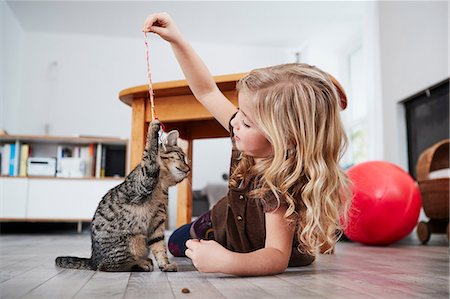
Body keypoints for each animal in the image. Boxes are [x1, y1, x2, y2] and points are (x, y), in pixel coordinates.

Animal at [55, 120, 189, 274]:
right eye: (182, 157)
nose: (189, 169)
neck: (162, 186)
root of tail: (93, 260)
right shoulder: (144, 181)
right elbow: (149, 153)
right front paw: (153, 129)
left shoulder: (157, 221)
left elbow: (159, 245)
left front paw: (165, 265)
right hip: (130, 241)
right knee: (106, 266)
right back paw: (141, 263)